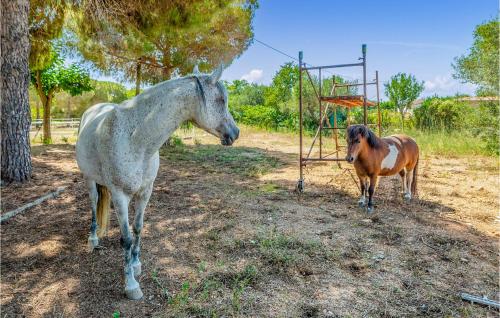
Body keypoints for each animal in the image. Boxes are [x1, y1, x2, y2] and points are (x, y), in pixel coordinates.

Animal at [75, 64, 239, 298]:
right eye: (221, 100)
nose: (236, 132)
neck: (136, 139)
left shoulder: (145, 192)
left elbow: (137, 228)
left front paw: (136, 264)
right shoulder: (120, 195)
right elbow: (126, 239)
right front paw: (131, 285)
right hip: (89, 180)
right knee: (93, 204)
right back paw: (93, 239)